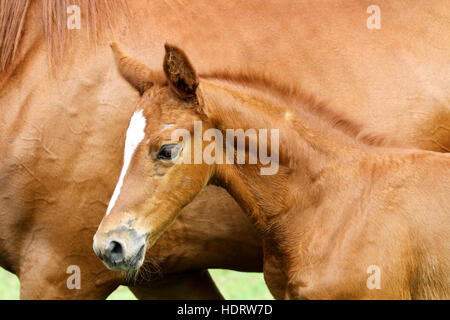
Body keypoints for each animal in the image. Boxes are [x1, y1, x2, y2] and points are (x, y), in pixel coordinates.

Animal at [0, 0, 450, 300]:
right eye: (122, 145)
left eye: (166, 150)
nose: (109, 245)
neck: (336, 202)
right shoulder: (167, 273)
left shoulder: (59, 269)